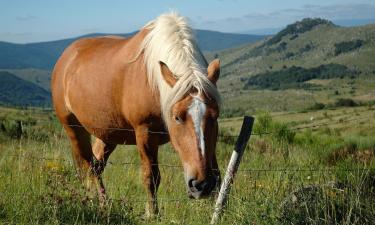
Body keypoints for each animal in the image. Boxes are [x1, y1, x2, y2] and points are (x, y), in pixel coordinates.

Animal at [51, 12, 222, 216]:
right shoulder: (145, 133)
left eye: (214, 116)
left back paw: (102, 203)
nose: (201, 185)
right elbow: (151, 177)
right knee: (88, 166)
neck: (154, 83)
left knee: (96, 166)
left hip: (107, 134)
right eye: (177, 117)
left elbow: (219, 175)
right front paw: (152, 214)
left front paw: (219, 211)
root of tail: (66, 57)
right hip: (74, 129)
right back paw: (94, 202)